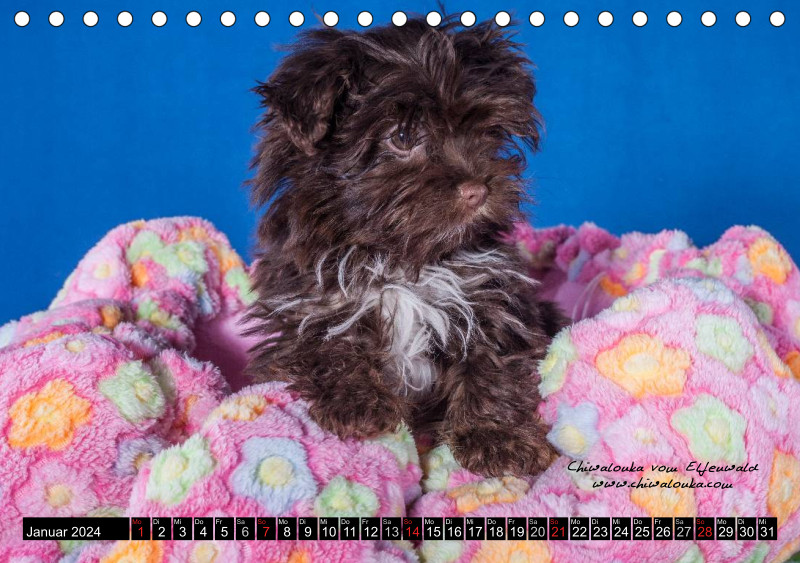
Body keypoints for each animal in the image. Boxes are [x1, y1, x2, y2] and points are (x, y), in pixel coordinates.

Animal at [244, 16, 568, 477]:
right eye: (402, 136)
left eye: (486, 132)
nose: (478, 189)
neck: (400, 257)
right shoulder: (306, 303)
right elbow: (326, 344)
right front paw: (357, 403)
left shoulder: (492, 297)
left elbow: (494, 360)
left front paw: (499, 437)